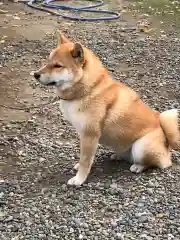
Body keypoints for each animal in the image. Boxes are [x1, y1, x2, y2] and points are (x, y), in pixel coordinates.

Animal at [33, 32, 179, 186]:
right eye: (48, 61)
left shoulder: (89, 135)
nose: (35, 74)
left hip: (141, 146)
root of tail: (167, 141)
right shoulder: (83, 135)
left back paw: (138, 166)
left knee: (159, 163)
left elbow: (85, 161)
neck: (89, 89)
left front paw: (79, 179)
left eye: (57, 66)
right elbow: (83, 157)